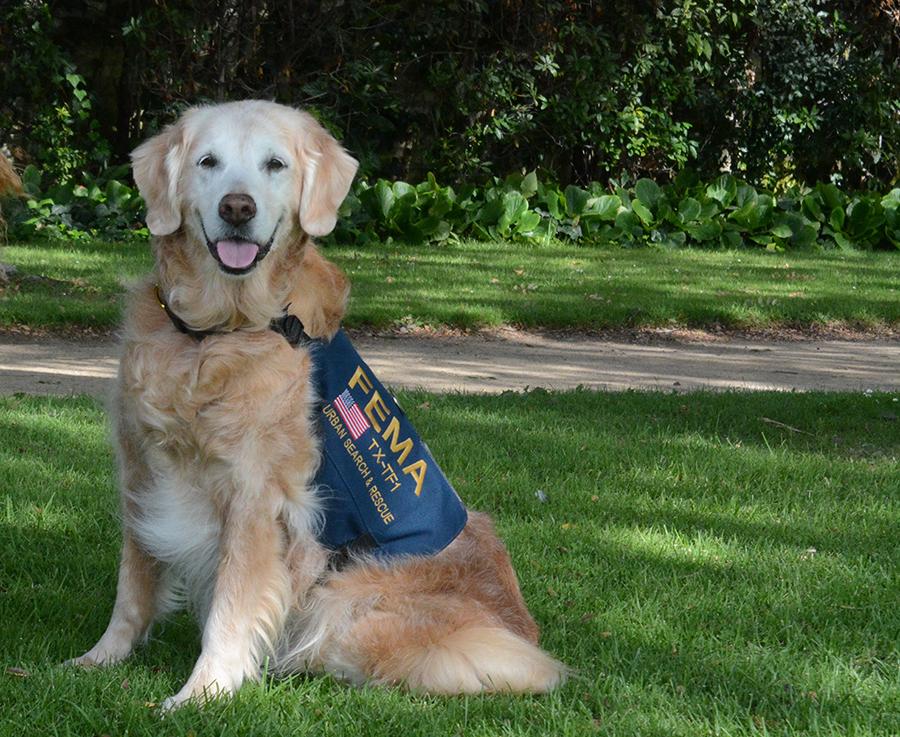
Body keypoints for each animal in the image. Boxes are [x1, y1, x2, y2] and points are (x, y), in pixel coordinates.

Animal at [68, 99, 564, 708]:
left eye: (274, 164)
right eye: (208, 162)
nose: (238, 207)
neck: (215, 334)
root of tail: (523, 630)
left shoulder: (256, 499)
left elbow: (232, 604)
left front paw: (205, 691)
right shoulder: (141, 471)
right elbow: (132, 586)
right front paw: (100, 658)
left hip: (350, 603)